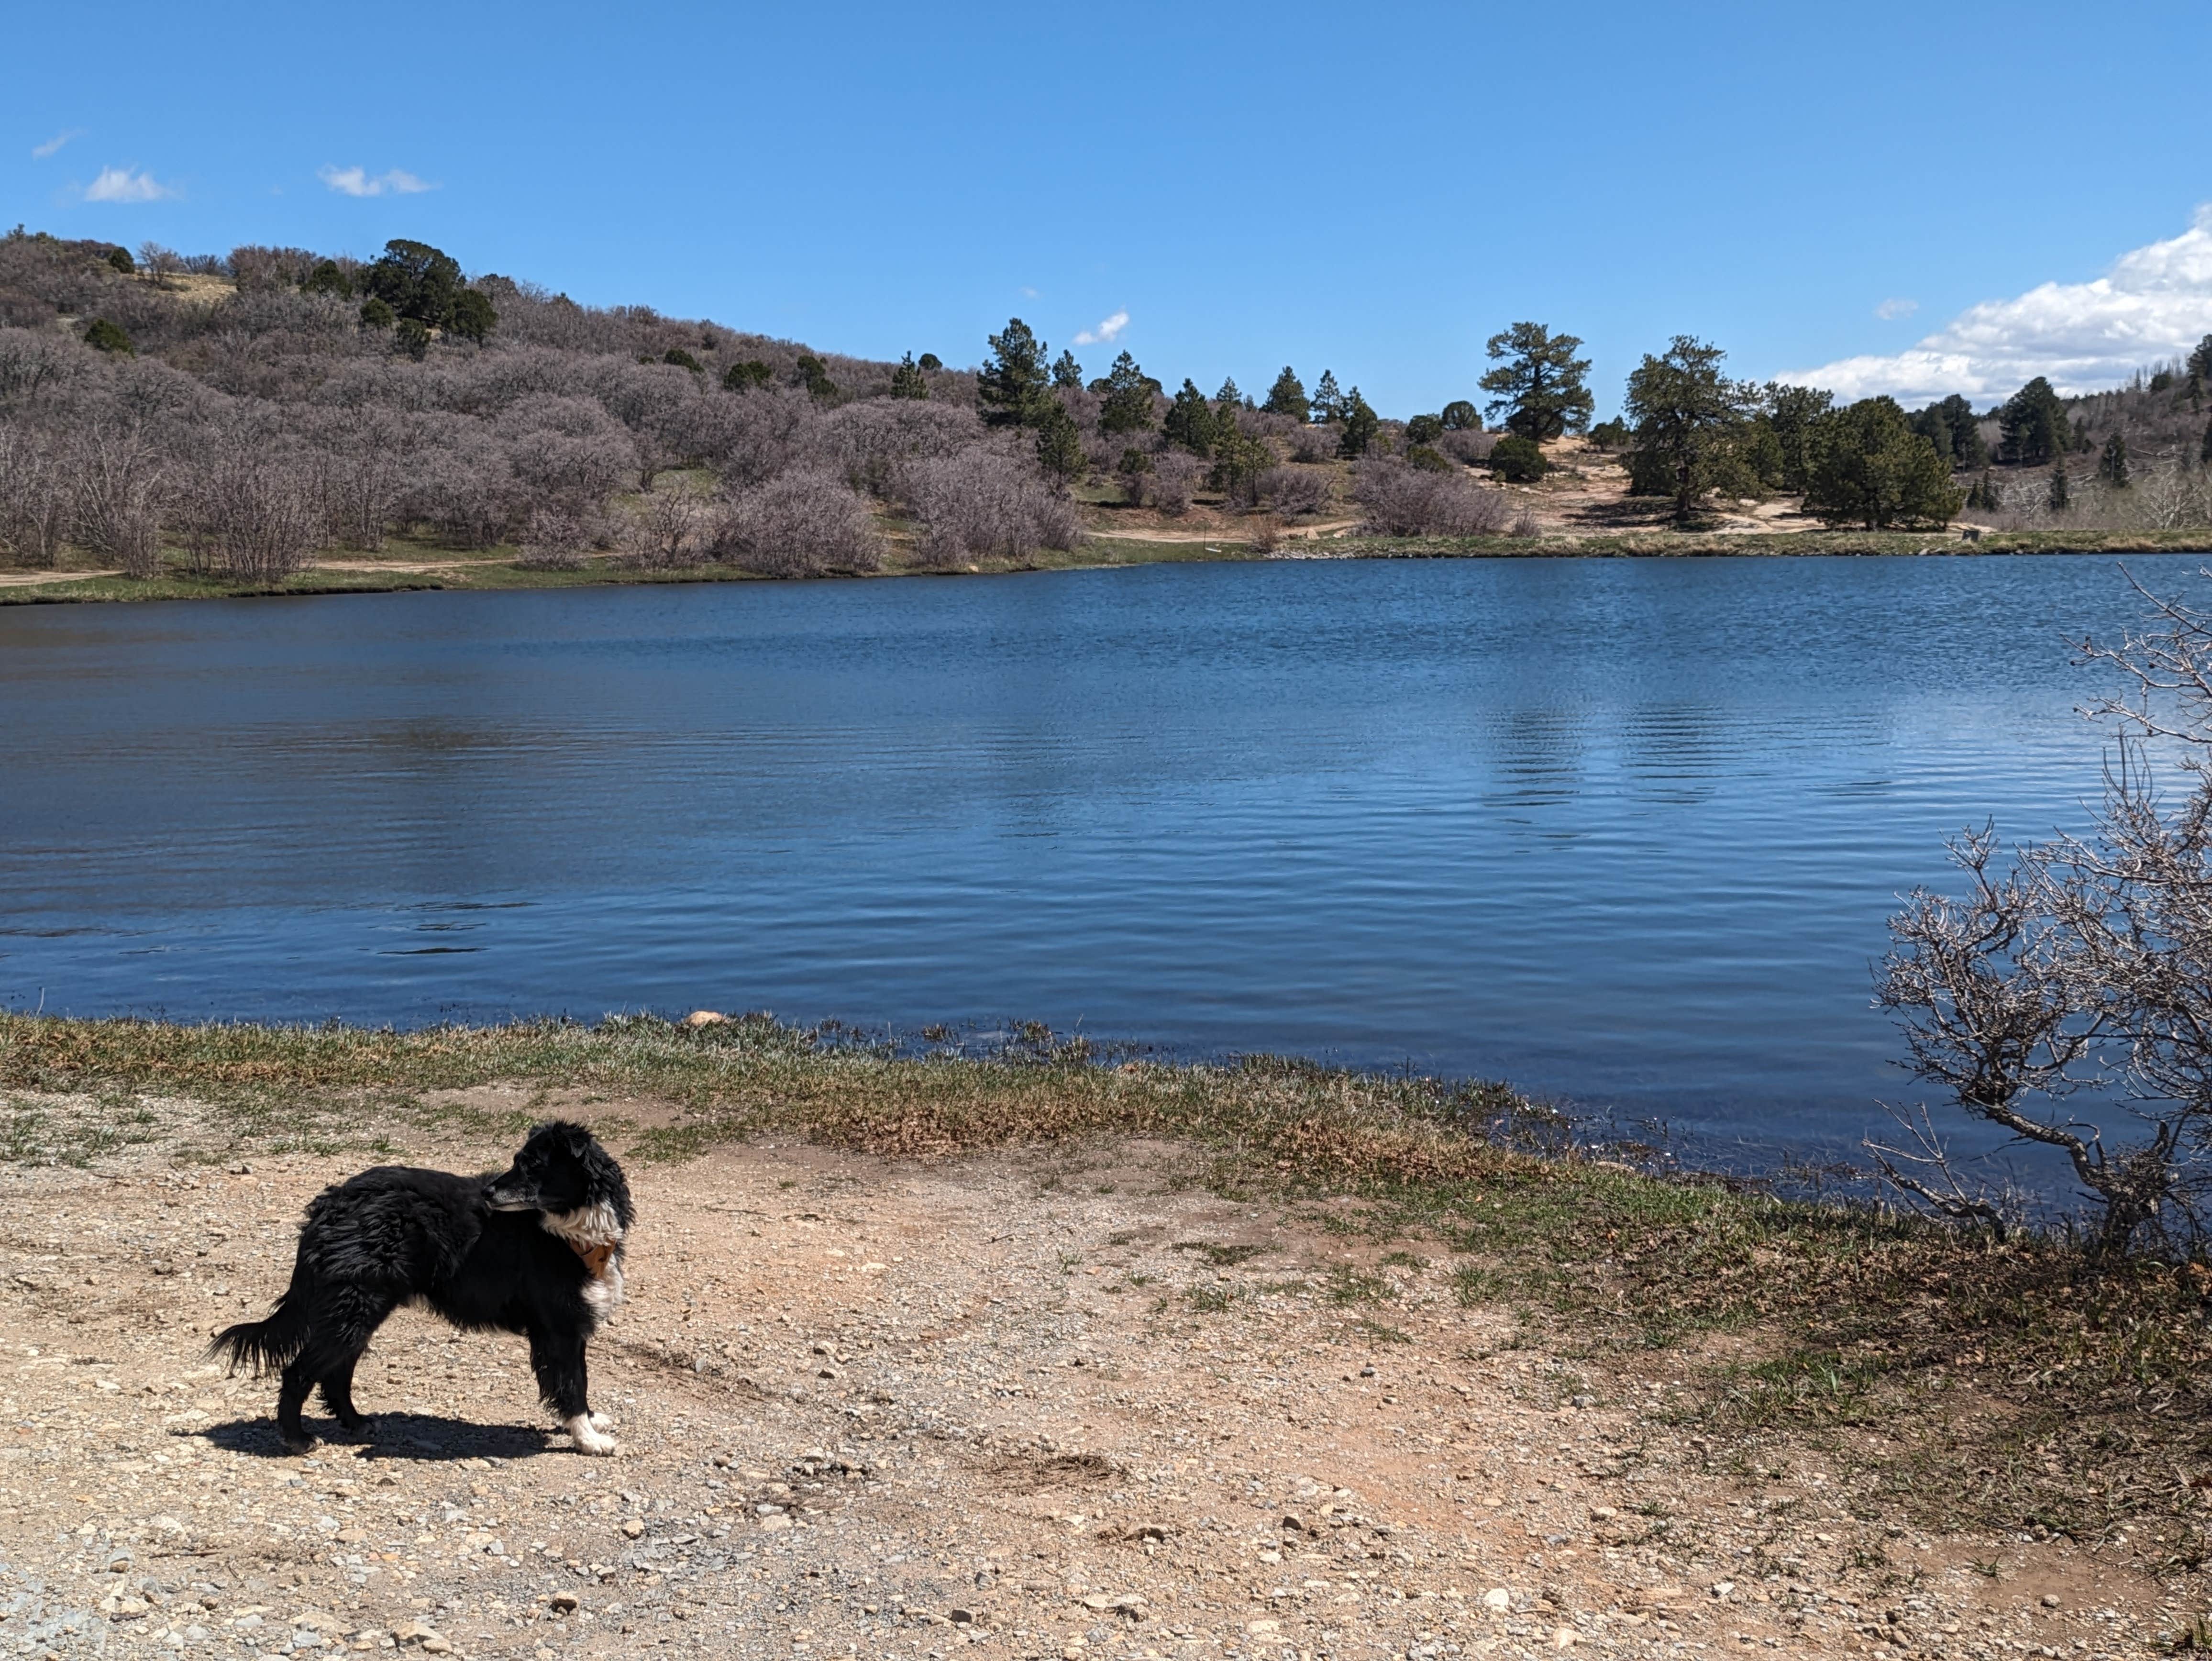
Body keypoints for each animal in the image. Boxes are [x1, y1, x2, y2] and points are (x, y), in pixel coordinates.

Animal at [212, 1119, 632, 1451]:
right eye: (518, 1160)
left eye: (532, 1165)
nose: (487, 1193)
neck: (570, 1231)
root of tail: (332, 1203)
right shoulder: (558, 1327)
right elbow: (571, 1385)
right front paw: (589, 1439)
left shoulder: (574, 1325)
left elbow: (582, 1379)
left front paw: (591, 1421)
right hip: (355, 1307)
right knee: (300, 1372)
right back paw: (297, 1438)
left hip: (358, 1309)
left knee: (336, 1371)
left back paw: (356, 1422)